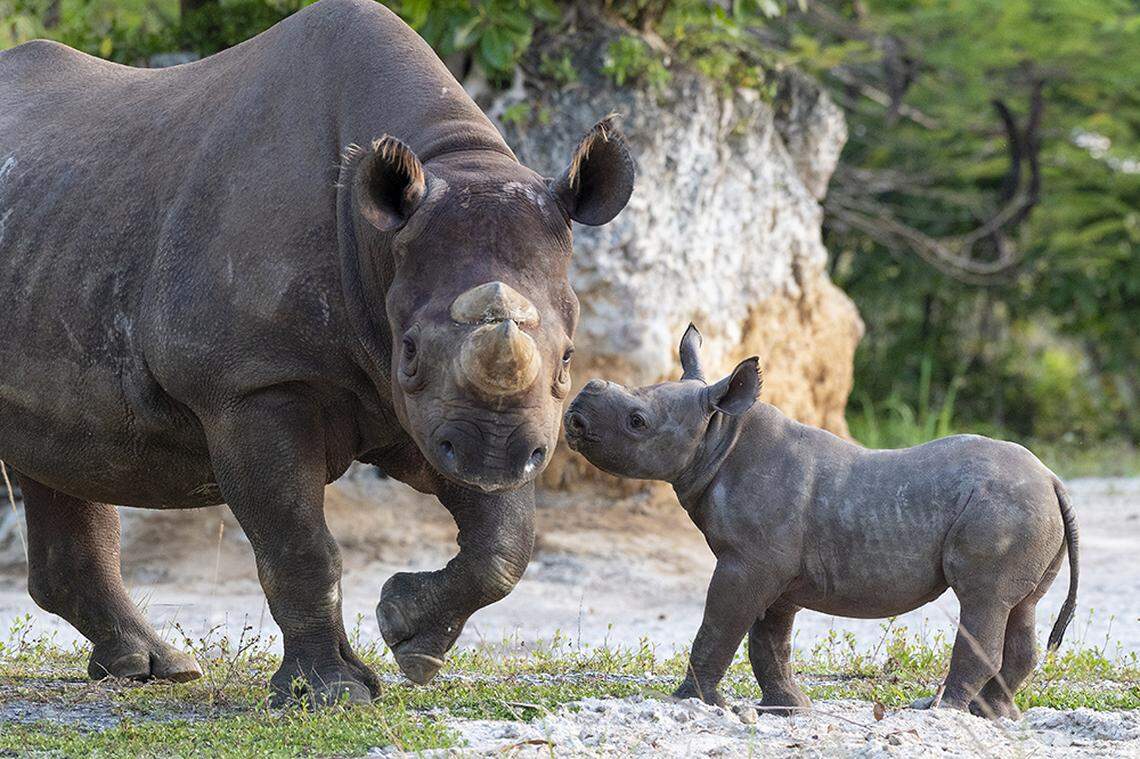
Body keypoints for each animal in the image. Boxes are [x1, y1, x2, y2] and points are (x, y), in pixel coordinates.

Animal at [0, 0, 633, 704]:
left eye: (569, 359)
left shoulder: (441, 411)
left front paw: (406, 635)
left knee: (60, 452)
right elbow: (299, 545)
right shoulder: (252, 382)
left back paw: (152, 668)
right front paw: (330, 692)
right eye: (410, 352)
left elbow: (505, 541)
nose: (491, 457)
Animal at [564, 324, 1079, 719]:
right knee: (1021, 607)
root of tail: (1053, 478)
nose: (574, 414)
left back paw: (939, 711)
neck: (720, 436)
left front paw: (694, 703)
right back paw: (992, 715)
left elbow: (719, 626)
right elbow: (768, 641)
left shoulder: (749, 562)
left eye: (637, 422)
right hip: (1029, 510)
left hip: (1003, 508)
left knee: (983, 601)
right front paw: (787, 708)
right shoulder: (772, 568)